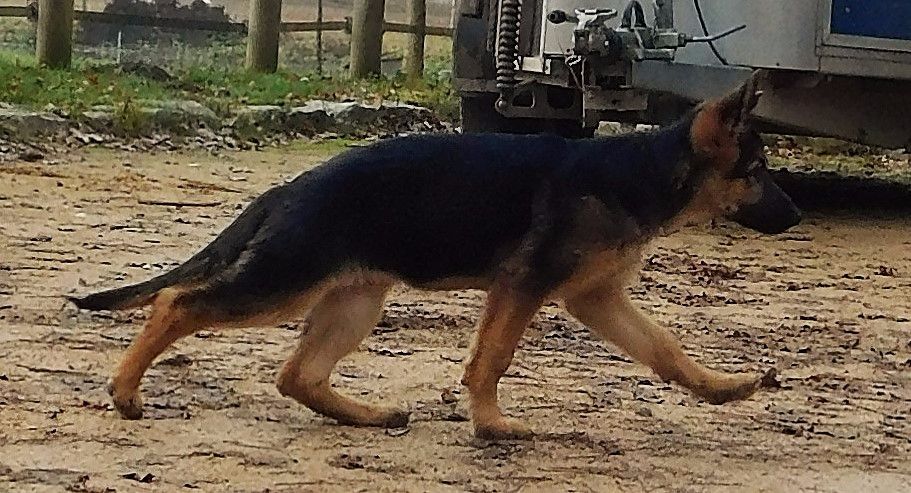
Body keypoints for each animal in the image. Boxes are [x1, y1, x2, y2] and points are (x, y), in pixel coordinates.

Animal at [70, 71, 800, 440]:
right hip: (286, 281)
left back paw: (369, 415)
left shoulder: (595, 298)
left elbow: (665, 349)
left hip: (355, 300)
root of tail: (289, 187)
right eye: (757, 171)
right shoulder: (523, 287)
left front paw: (721, 388)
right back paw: (126, 391)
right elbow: (492, 358)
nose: (796, 216)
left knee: (296, 375)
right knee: (177, 302)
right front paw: (491, 425)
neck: (642, 170)